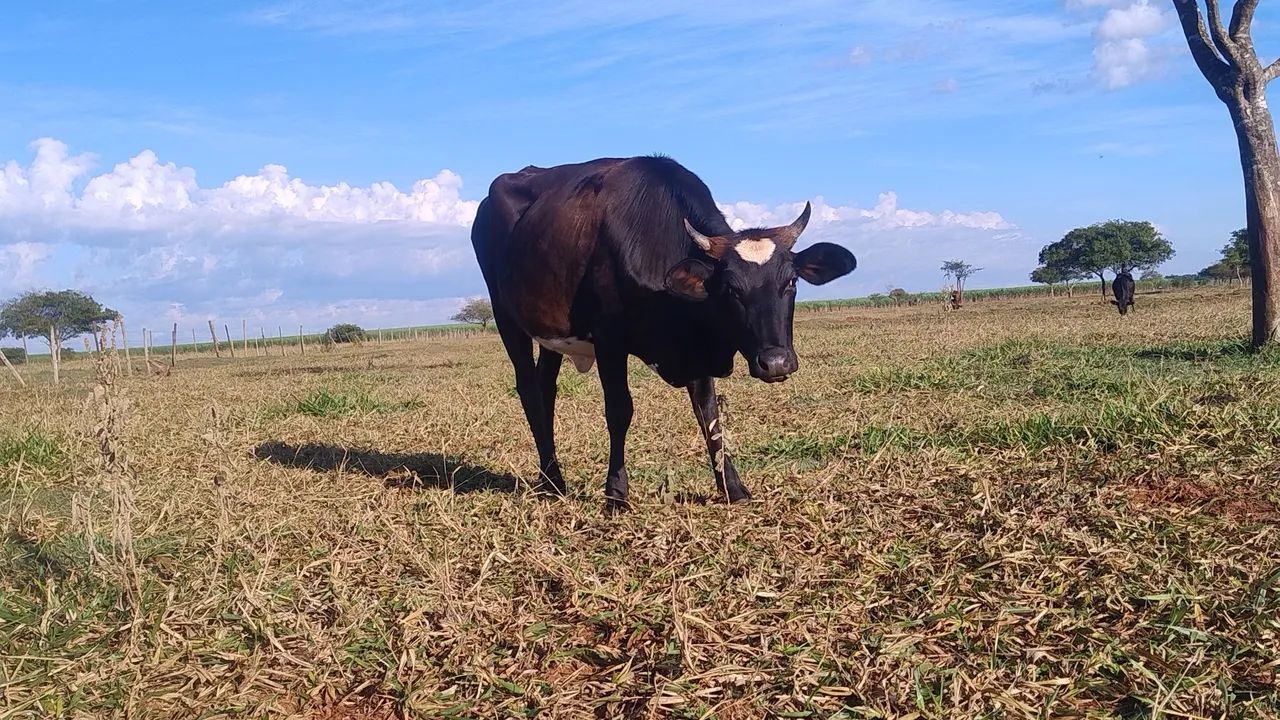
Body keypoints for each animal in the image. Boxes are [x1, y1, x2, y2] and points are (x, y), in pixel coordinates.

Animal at [470, 156, 857, 513]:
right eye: (731, 288)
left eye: (790, 282)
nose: (775, 362)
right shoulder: (609, 340)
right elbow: (619, 411)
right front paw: (616, 494)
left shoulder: (698, 352)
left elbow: (709, 415)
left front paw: (732, 488)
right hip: (506, 317)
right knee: (529, 390)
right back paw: (552, 481)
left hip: (552, 335)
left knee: (546, 389)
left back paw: (550, 476)